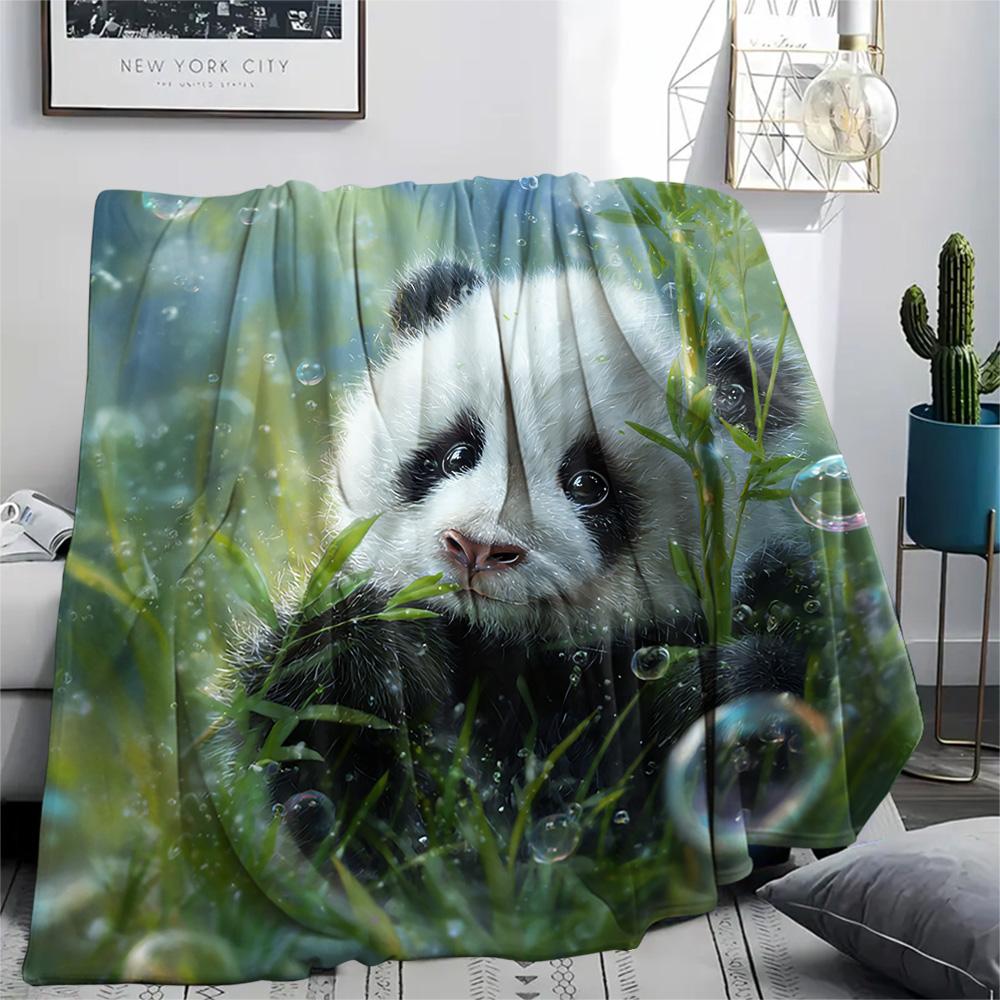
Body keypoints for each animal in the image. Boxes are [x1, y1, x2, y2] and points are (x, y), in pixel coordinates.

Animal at [237, 260, 816, 857]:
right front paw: (374, 655)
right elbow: (313, 756)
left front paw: (718, 697)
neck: (502, 645)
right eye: (457, 453)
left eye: (590, 484)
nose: (477, 549)